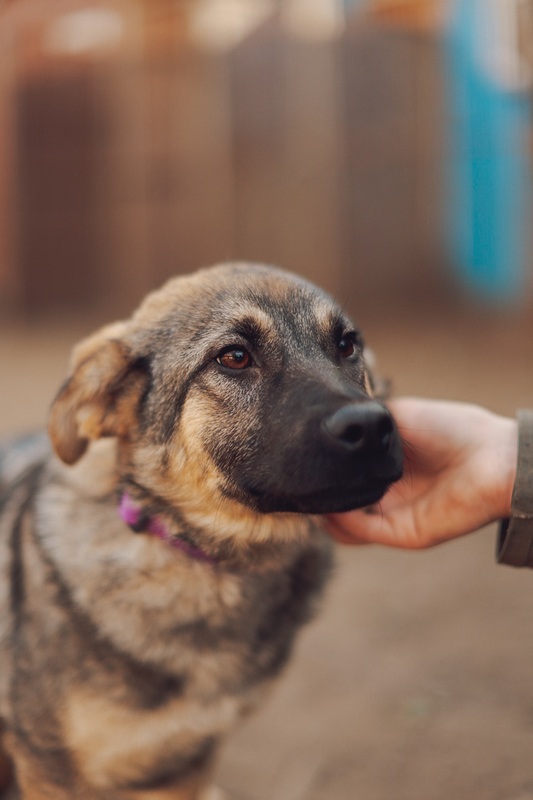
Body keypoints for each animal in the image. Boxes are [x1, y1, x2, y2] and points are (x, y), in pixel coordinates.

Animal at [0, 260, 400, 792]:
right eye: (233, 357)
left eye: (346, 345)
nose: (373, 426)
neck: (207, 560)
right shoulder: (50, 767)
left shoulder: (189, 760)